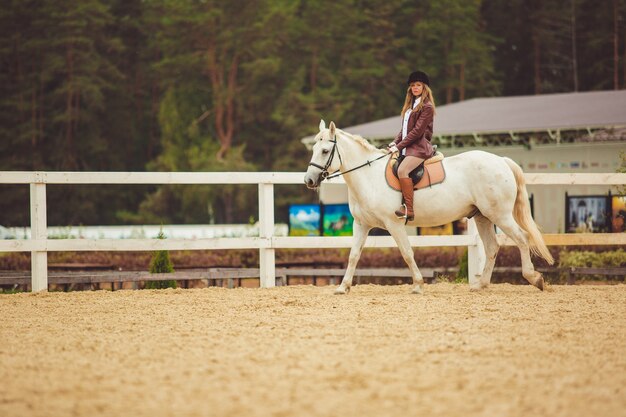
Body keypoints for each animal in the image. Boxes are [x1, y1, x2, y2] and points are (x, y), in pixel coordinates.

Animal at [304, 118, 552, 294]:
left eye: (325, 151)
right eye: (313, 150)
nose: (309, 180)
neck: (368, 176)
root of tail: (501, 160)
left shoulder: (393, 224)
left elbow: (406, 252)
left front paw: (418, 284)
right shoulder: (361, 224)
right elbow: (354, 255)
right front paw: (343, 287)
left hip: (500, 215)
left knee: (522, 239)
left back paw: (534, 278)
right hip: (482, 216)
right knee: (492, 247)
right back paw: (480, 285)